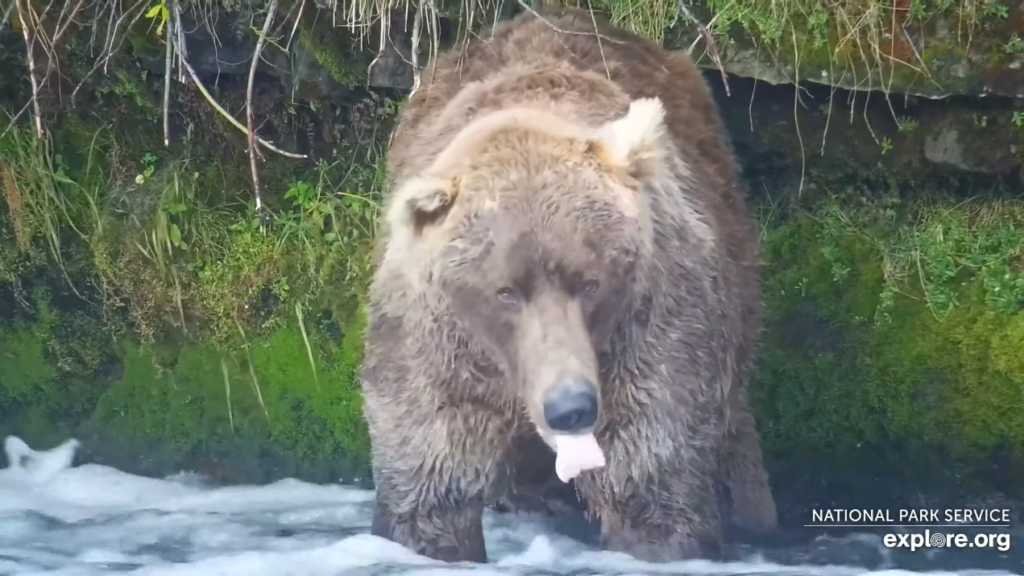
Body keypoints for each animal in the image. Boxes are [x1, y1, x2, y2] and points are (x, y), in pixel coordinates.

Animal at [360, 4, 774, 561]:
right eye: (505, 291)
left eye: (590, 282)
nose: (570, 407)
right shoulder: (438, 349)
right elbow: (431, 483)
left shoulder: (648, 327)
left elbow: (648, 479)